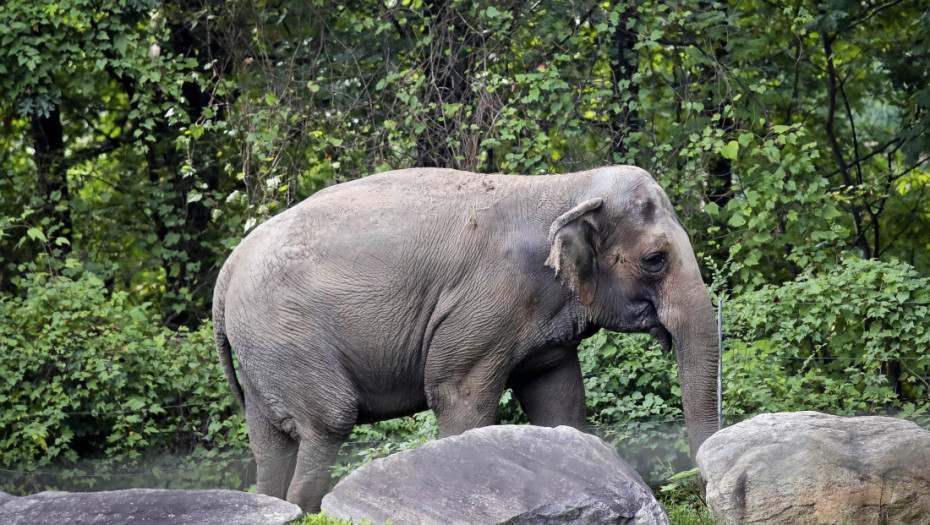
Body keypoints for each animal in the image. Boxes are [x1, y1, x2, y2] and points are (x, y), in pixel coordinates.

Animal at [214, 166, 720, 510]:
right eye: (655, 260)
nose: (702, 491)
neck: (565, 187)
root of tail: (228, 268)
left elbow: (559, 402)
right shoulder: (484, 305)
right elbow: (459, 396)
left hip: (263, 351)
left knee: (270, 444)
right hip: (288, 334)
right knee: (328, 422)